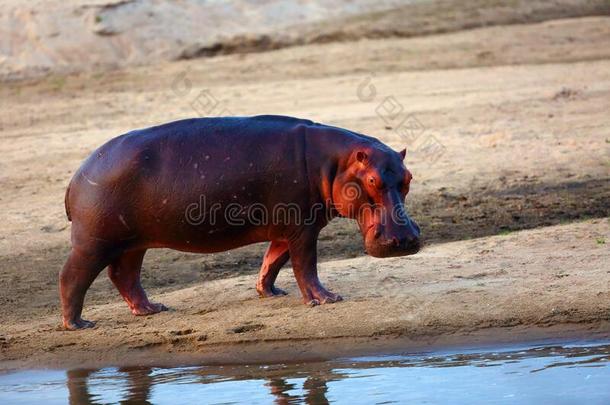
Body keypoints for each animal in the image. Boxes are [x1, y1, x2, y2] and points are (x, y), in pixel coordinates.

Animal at [59, 115, 418, 330]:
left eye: (408, 178)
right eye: (371, 180)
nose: (405, 239)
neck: (334, 163)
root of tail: (77, 175)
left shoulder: (289, 228)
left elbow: (273, 260)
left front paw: (269, 292)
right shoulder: (302, 228)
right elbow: (305, 264)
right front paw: (325, 299)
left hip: (134, 242)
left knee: (124, 275)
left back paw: (152, 309)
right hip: (94, 242)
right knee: (72, 277)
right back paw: (78, 324)